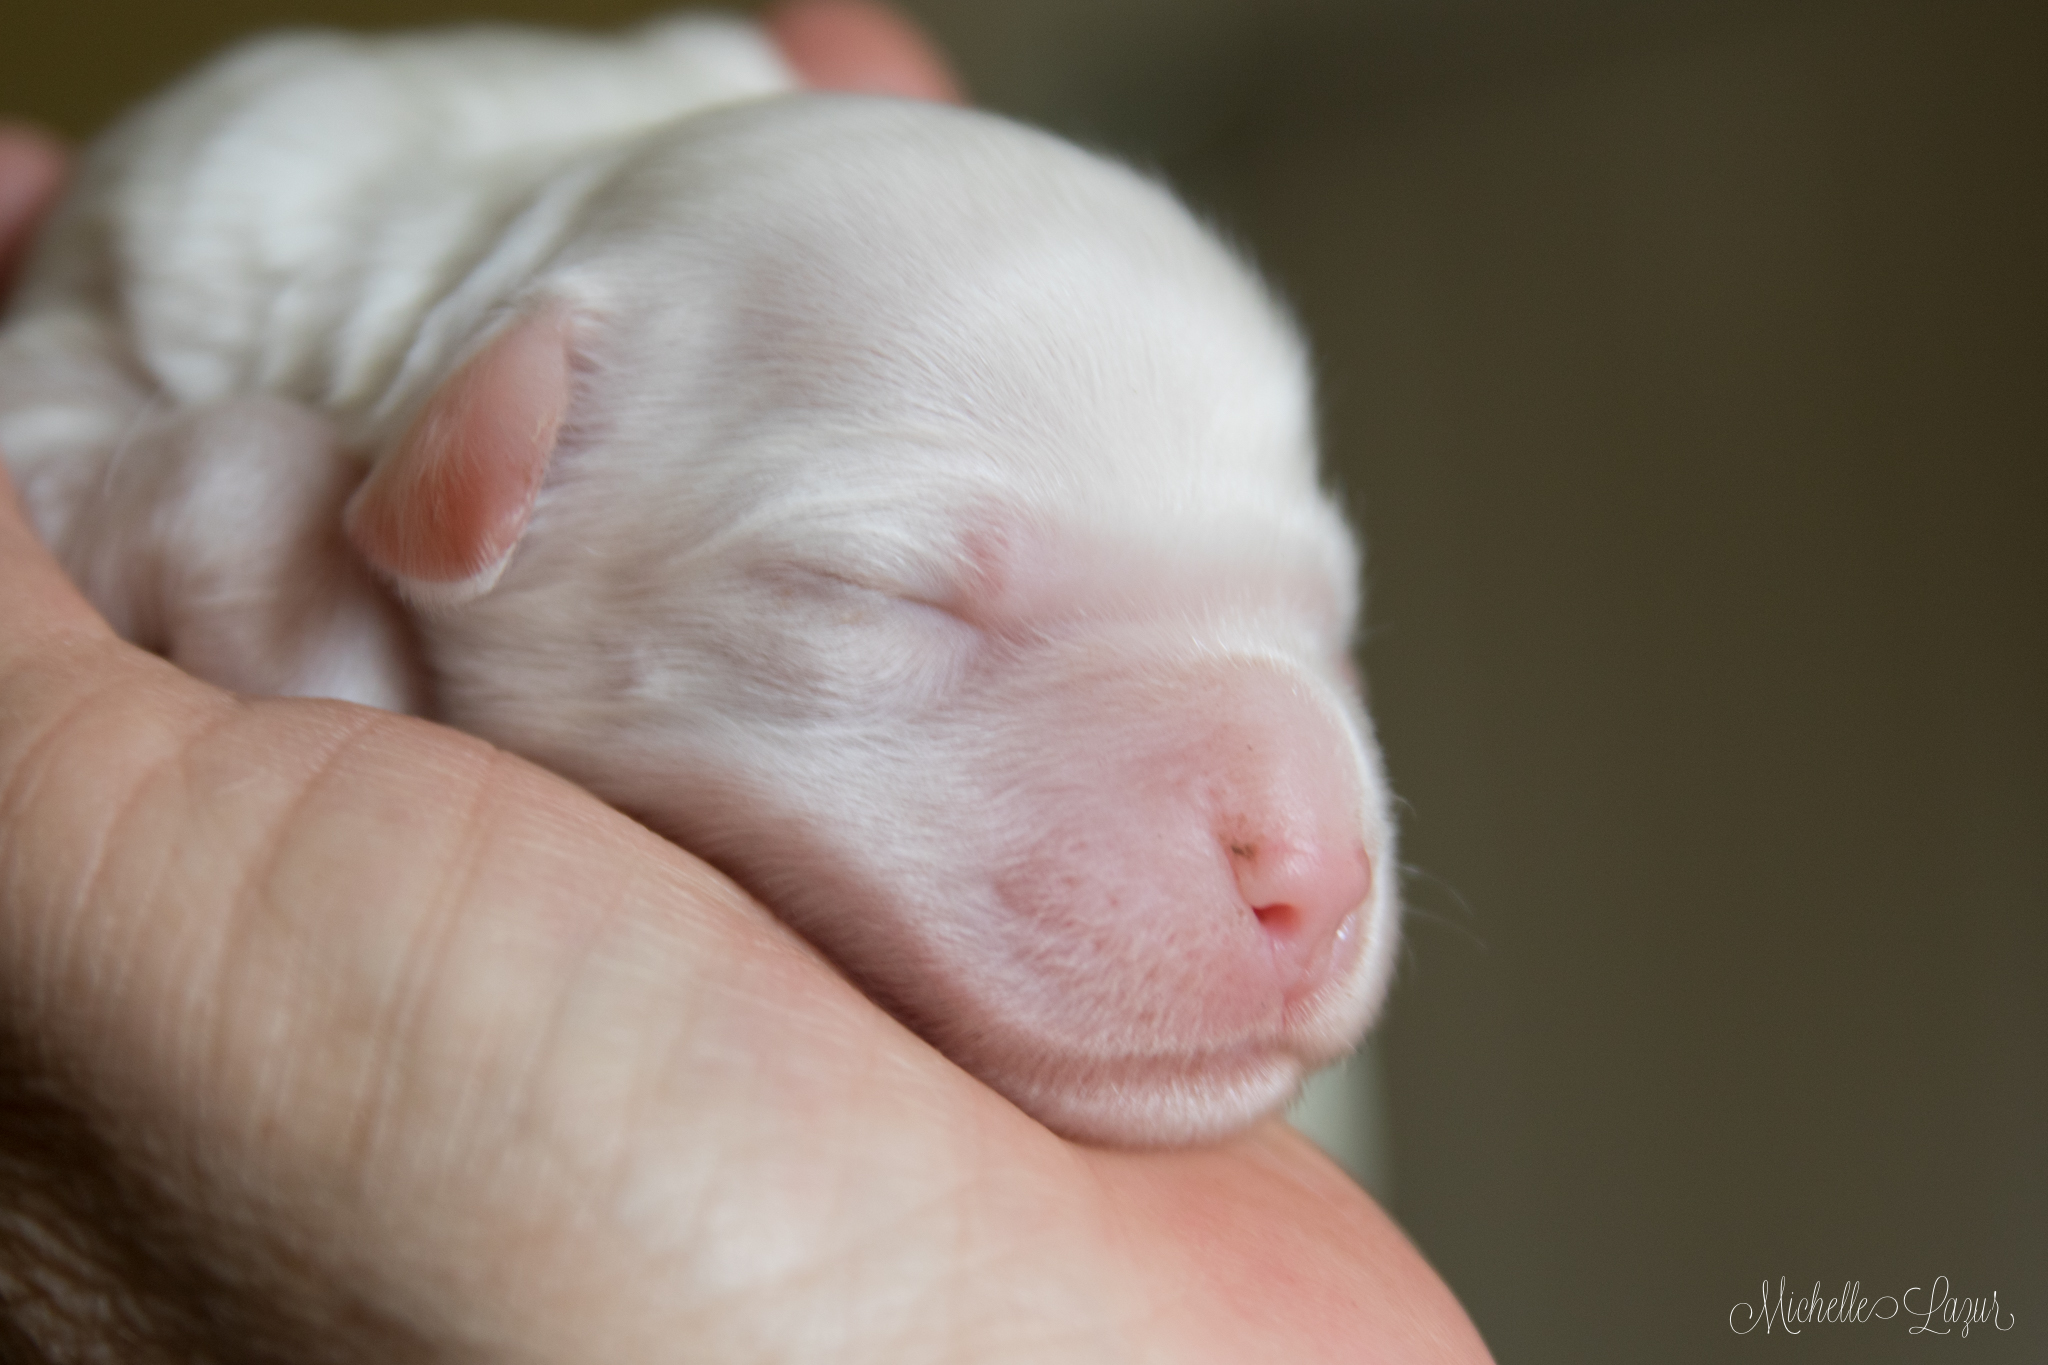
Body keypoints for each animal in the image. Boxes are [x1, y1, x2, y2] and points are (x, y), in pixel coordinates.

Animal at [0, 15, 1400, 1146]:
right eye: (885, 594)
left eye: (1333, 628)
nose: (1316, 869)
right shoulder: (85, 346)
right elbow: (225, 450)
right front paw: (318, 644)